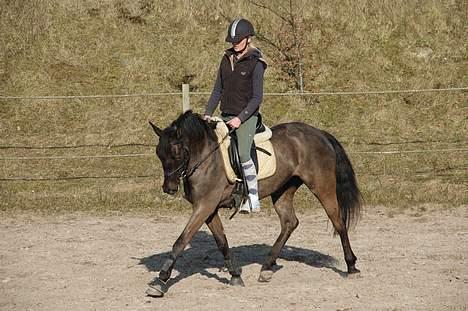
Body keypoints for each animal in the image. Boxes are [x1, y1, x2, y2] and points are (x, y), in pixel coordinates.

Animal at [146, 111, 362, 298]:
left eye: (176, 153)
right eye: (158, 153)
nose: (169, 188)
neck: (206, 158)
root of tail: (319, 133)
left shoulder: (204, 206)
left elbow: (181, 241)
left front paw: (160, 281)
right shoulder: (209, 209)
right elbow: (221, 242)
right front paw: (235, 275)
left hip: (322, 187)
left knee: (338, 222)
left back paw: (351, 267)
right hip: (283, 189)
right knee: (290, 222)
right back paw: (266, 268)